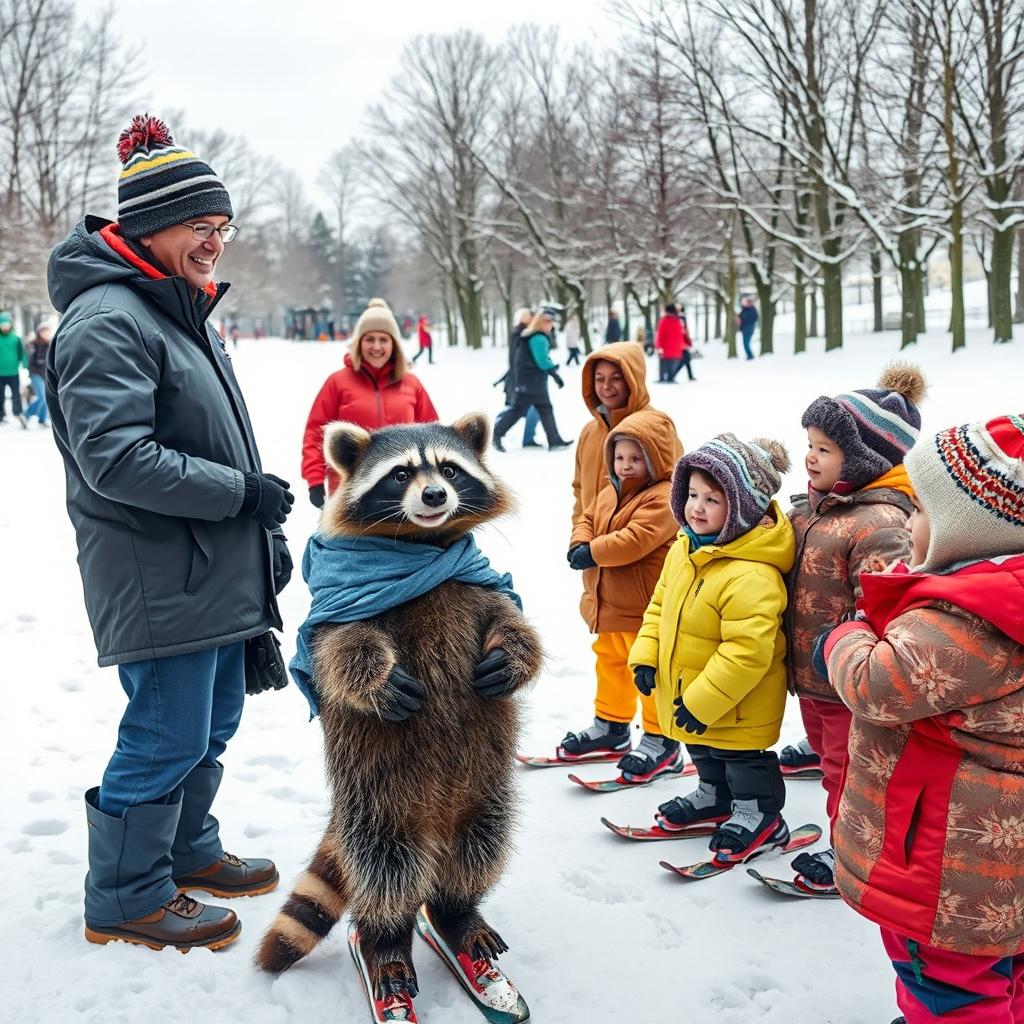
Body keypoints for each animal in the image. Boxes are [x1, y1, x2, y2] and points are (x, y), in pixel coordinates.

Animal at [258, 411, 544, 1003]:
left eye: (450, 470)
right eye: (401, 474)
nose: (435, 495)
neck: (421, 543)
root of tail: (434, 816)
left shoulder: (481, 585)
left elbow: (513, 619)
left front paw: (513, 654)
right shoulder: (343, 614)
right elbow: (341, 649)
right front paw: (377, 679)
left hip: (482, 789)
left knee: (479, 847)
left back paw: (457, 914)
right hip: (376, 792)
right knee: (385, 868)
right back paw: (384, 939)